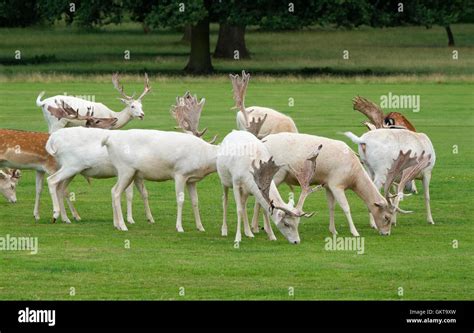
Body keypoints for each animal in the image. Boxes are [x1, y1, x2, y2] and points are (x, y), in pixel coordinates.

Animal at [102, 98, 218, 230]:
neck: (203, 157)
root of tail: (109, 141)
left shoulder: (192, 180)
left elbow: (195, 201)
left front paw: (200, 227)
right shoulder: (180, 173)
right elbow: (180, 200)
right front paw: (179, 227)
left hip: (130, 173)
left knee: (113, 190)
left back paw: (117, 224)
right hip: (125, 169)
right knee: (116, 192)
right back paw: (123, 225)